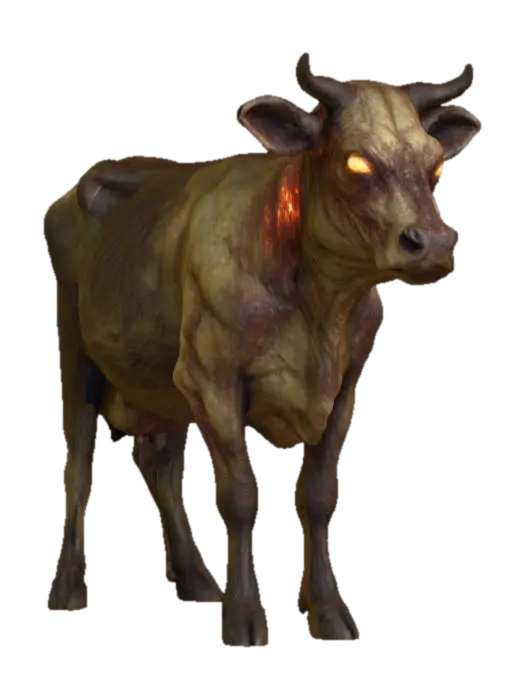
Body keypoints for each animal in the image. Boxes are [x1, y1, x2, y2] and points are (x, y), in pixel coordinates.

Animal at [41, 52, 479, 646]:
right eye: (356, 163)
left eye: (437, 168)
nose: (431, 245)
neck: (320, 306)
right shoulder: (213, 378)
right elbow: (241, 498)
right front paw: (245, 619)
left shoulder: (346, 384)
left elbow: (320, 497)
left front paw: (331, 616)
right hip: (80, 354)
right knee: (80, 460)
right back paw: (70, 593)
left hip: (160, 377)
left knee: (160, 462)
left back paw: (198, 584)